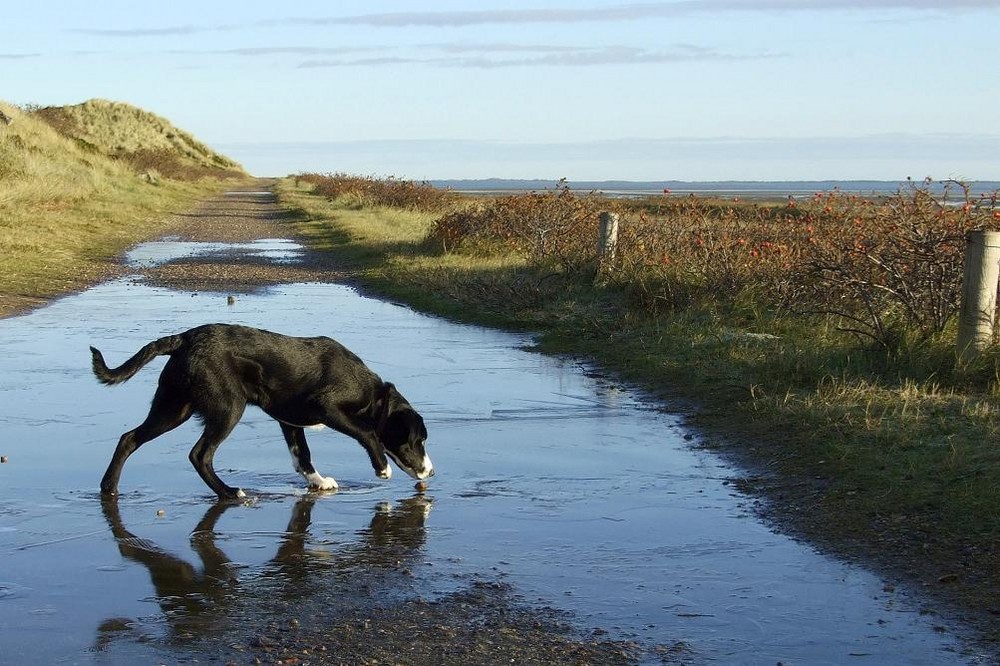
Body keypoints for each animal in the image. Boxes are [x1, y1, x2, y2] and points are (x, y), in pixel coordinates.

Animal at [93, 322, 434, 498]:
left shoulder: (290, 421)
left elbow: (303, 455)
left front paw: (318, 482)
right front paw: (381, 467)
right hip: (228, 408)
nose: (430, 471)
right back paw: (229, 493)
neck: (373, 394)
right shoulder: (327, 407)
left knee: (128, 439)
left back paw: (109, 487)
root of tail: (183, 339)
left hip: (173, 408)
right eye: (417, 441)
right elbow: (367, 433)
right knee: (200, 455)